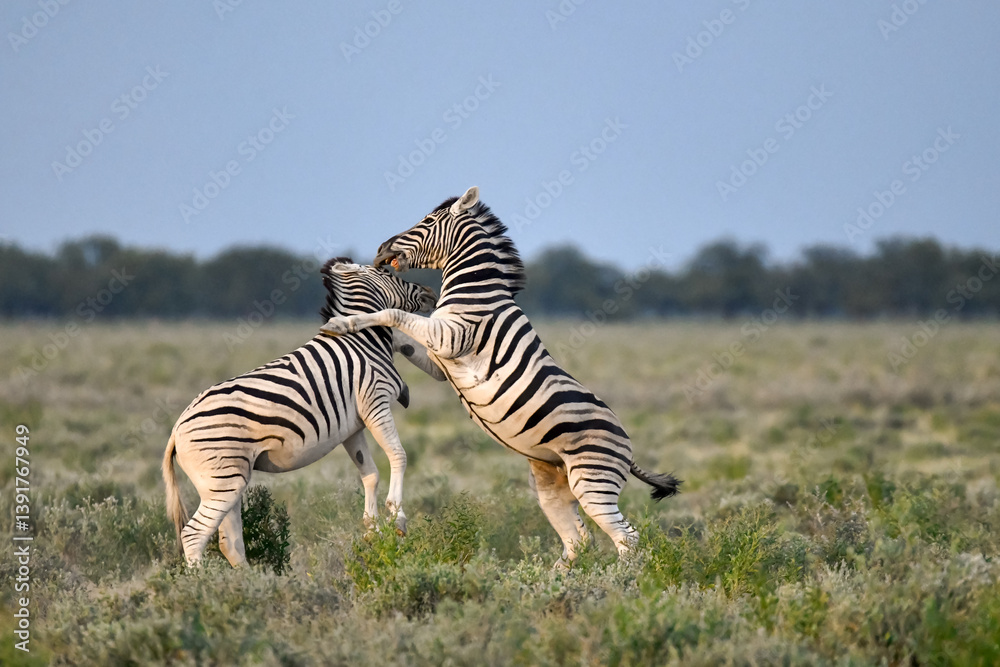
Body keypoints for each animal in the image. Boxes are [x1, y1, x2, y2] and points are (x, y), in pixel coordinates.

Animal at [163, 257, 445, 566]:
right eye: (387, 272)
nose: (431, 292)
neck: (364, 341)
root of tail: (176, 430)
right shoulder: (375, 402)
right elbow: (398, 455)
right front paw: (397, 517)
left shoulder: (352, 426)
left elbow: (369, 473)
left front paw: (373, 529)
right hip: (223, 478)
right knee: (194, 535)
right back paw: (205, 579)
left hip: (225, 481)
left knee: (230, 543)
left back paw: (251, 579)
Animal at [319, 187, 680, 566]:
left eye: (428, 221)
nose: (380, 249)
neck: (474, 292)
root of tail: (628, 445)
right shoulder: (438, 357)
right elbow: (403, 335)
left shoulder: (449, 337)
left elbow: (393, 313)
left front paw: (342, 323)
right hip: (553, 485)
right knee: (578, 542)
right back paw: (549, 579)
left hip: (592, 481)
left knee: (628, 539)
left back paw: (620, 579)